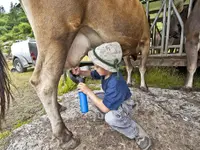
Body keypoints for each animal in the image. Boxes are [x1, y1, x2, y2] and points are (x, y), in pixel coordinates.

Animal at [19, 0, 150, 148]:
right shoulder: (146, 40)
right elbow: (142, 67)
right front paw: (144, 86)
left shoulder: (126, 50)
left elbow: (129, 67)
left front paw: (129, 82)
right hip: (56, 34)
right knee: (44, 82)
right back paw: (65, 136)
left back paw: (59, 107)